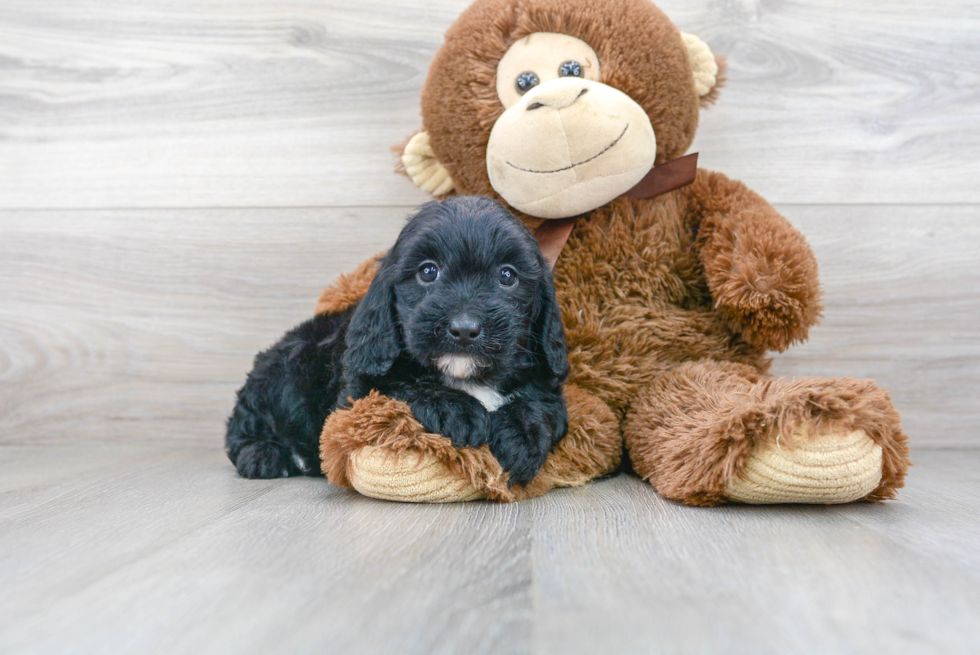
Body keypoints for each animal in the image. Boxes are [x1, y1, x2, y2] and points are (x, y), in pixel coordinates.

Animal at [226, 197, 572, 490]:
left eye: (507, 276)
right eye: (428, 272)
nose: (464, 329)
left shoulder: (544, 380)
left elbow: (541, 406)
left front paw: (518, 438)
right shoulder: (356, 392)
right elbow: (398, 386)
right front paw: (456, 409)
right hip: (283, 372)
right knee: (244, 425)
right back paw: (264, 455)